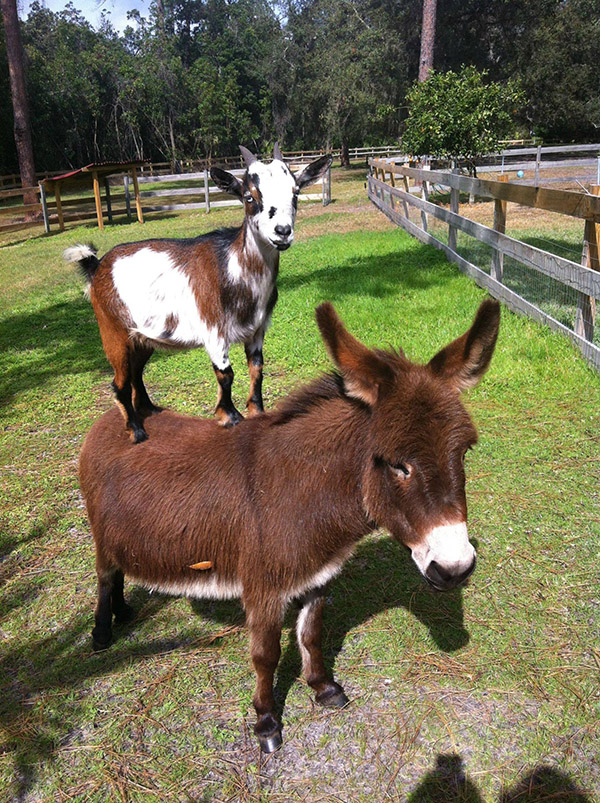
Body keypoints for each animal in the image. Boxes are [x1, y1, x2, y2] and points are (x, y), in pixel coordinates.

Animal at [65, 144, 332, 443]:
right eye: (249, 196)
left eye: (295, 192)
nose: (282, 232)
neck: (235, 270)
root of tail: (97, 265)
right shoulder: (213, 330)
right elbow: (226, 374)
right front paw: (229, 416)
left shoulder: (258, 329)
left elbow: (257, 368)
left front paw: (257, 411)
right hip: (113, 330)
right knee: (119, 381)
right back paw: (136, 430)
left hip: (142, 337)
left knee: (136, 372)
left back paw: (150, 410)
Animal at [79, 299, 501, 753]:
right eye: (397, 465)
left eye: (465, 451)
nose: (455, 569)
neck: (305, 491)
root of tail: (110, 420)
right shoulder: (262, 588)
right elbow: (266, 655)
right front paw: (266, 721)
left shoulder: (319, 575)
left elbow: (311, 636)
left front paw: (324, 688)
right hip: (101, 538)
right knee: (105, 575)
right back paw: (103, 631)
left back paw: (124, 611)